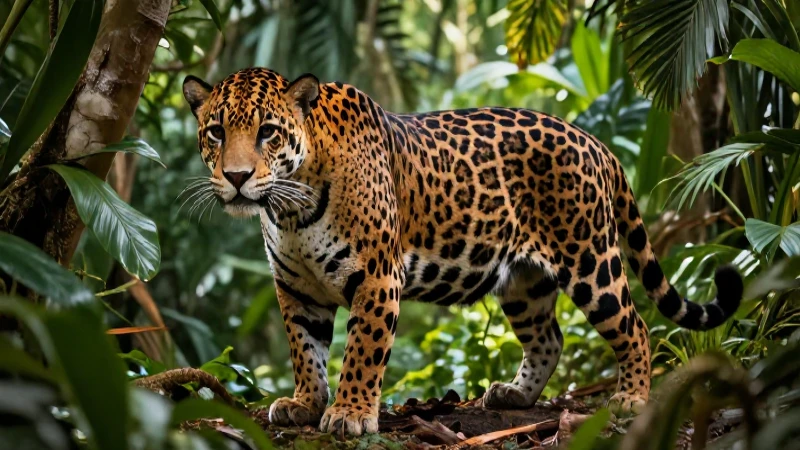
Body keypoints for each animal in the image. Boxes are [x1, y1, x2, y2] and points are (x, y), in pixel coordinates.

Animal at [182, 67, 743, 436]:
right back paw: (515, 394)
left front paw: (350, 413)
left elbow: (362, 349)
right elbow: (305, 350)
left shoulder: (377, 278)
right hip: (523, 282)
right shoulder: (296, 288)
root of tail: (594, 140)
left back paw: (630, 398)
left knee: (636, 325)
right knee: (550, 337)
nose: (236, 178)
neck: (290, 208)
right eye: (216, 132)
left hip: (590, 260)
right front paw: (305, 402)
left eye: (267, 133)